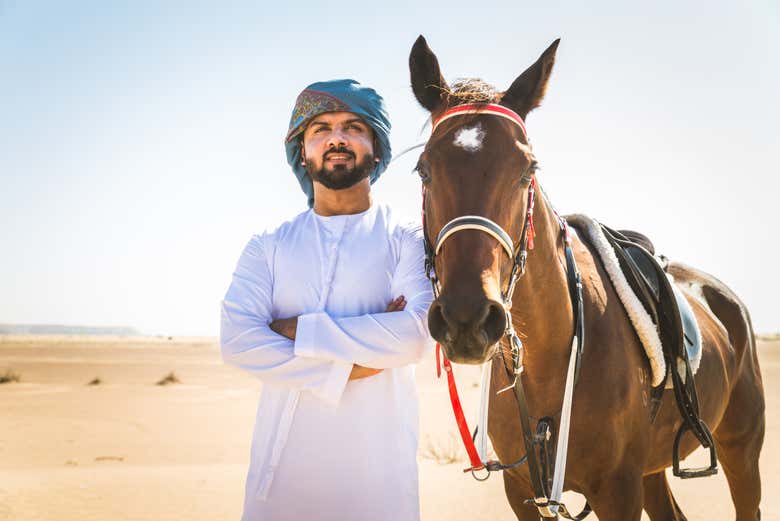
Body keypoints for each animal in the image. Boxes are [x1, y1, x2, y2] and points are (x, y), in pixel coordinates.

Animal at [412, 36, 764, 520]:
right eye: (424, 169)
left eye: (528, 169)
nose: (467, 318)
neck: (550, 360)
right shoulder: (522, 492)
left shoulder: (618, 492)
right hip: (653, 473)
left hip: (741, 450)